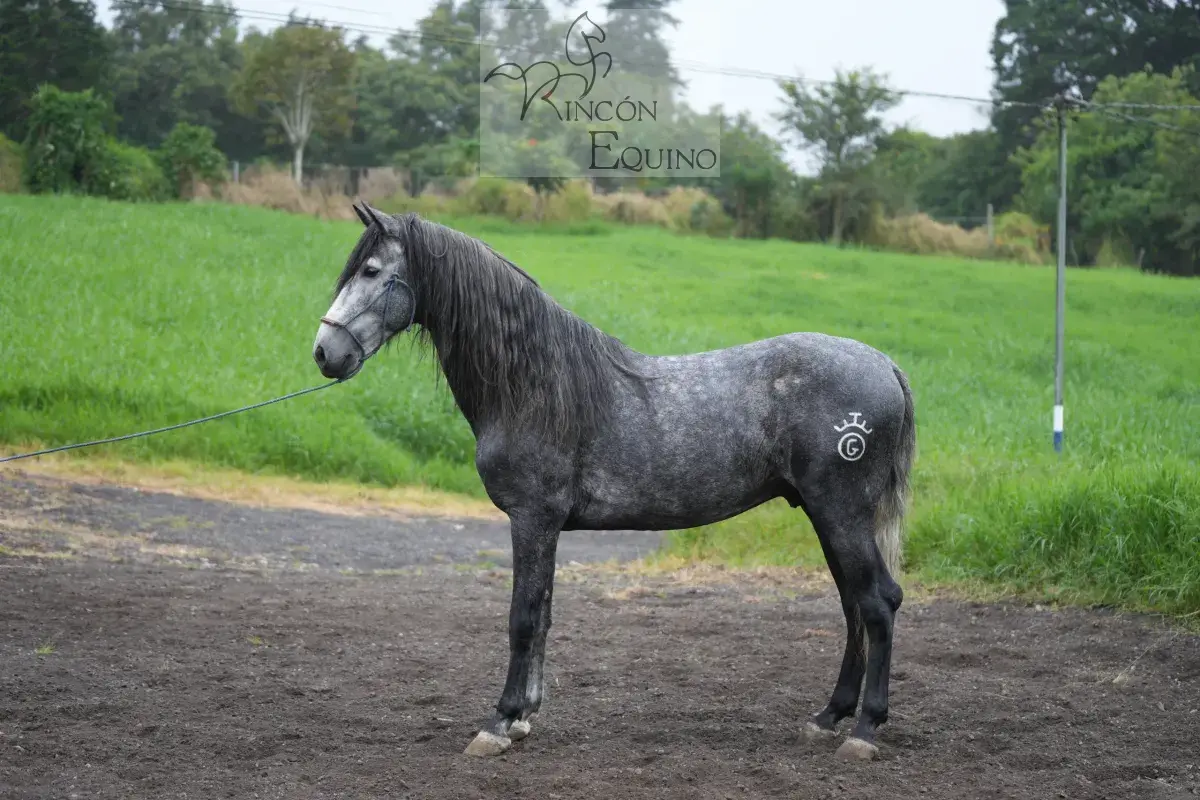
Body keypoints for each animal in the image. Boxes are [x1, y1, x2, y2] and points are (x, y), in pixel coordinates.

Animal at [312, 204, 916, 762]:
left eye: (370, 270)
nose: (324, 353)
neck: (534, 386)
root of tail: (885, 365)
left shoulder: (533, 519)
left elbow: (523, 618)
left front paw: (500, 722)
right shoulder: (546, 527)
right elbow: (544, 615)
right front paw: (525, 716)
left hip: (841, 513)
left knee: (877, 603)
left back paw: (864, 731)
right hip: (826, 515)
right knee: (854, 606)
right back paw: (828, 716)